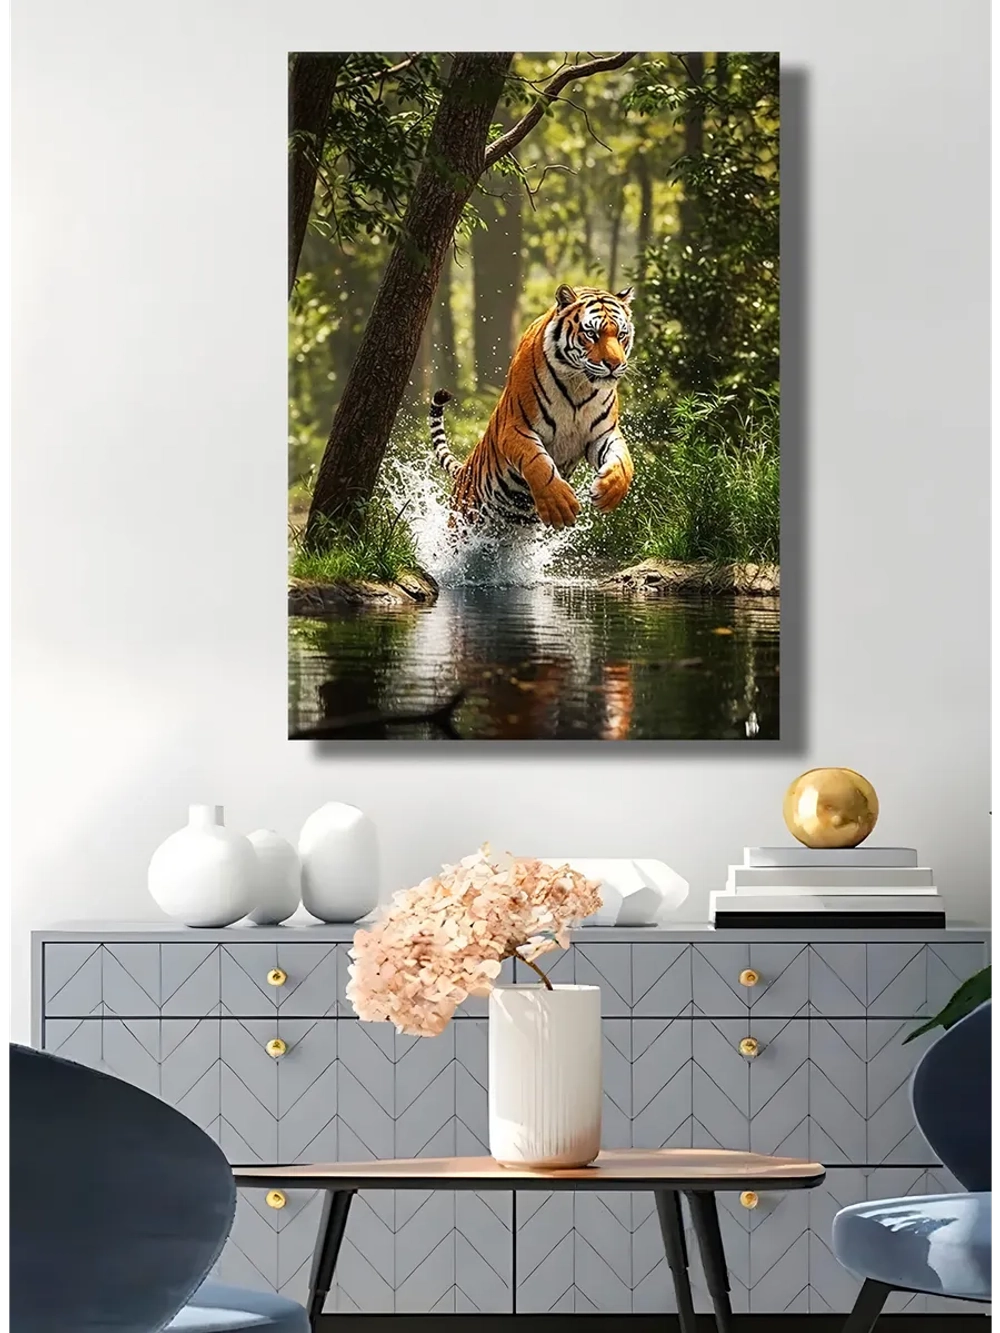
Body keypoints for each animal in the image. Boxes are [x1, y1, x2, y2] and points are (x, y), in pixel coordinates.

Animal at [429, 284, 636, 530]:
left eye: (621, 335)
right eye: (591, 334)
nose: (615, 364)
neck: (579, 384)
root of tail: (463, 471)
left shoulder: (603, 433)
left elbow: (624, 461)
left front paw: (609, 492)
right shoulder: (514, 428)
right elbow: (538, 462)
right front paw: (559, 505)